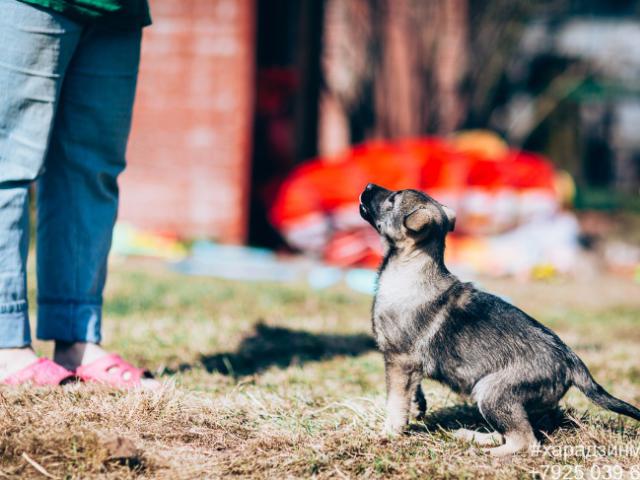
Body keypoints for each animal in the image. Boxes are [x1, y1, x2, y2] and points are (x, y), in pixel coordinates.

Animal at [360, 185, 640, 458]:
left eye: (393, 200)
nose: (368, 186)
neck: (410, 268)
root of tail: (572, 361)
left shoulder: (398, 361)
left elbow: (395, 402)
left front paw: (388, 433)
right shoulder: (408, 364)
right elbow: (411, 392)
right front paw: (417, 407)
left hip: (492, 392)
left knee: (526, 441)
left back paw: (487, 453)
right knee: (512, 432)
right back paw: (472, 436)